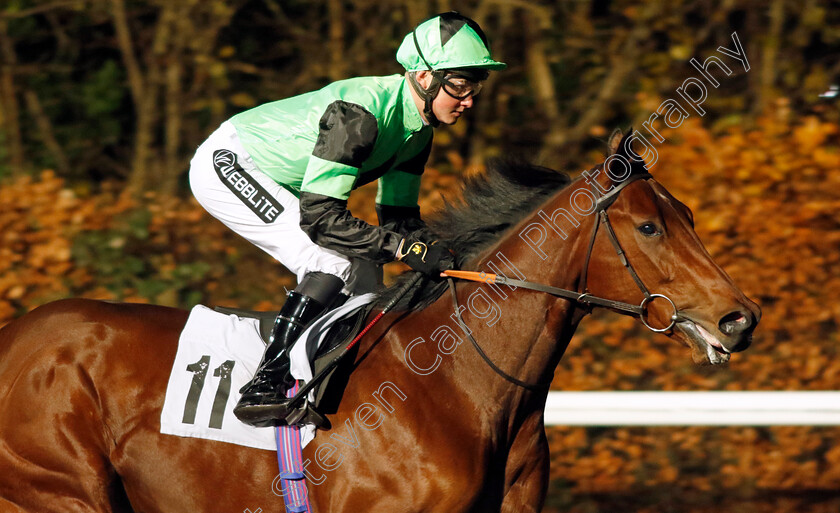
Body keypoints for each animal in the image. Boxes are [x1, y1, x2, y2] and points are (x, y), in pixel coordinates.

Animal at [0, 130, 760, 510]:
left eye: (689, 215)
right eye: (649, 226)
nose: (739, 317)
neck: (458, 385)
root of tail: (14, 336)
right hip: (61, 489)